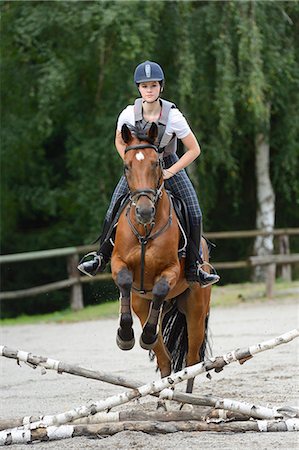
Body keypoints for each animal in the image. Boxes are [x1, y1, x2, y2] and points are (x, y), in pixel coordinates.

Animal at [111, 121, 212, 392]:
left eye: (156, 163)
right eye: (127, 166)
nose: (144, 211)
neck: (145, 230)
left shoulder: (171, 270)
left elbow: (159, 287)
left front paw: (144, 335)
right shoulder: (117, 263)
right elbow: (125, 280)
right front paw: (125, 336)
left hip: (196, 309)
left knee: (191, 359)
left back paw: (186, 399)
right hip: (143, 305)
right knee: (165, 358)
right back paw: (165, 397)